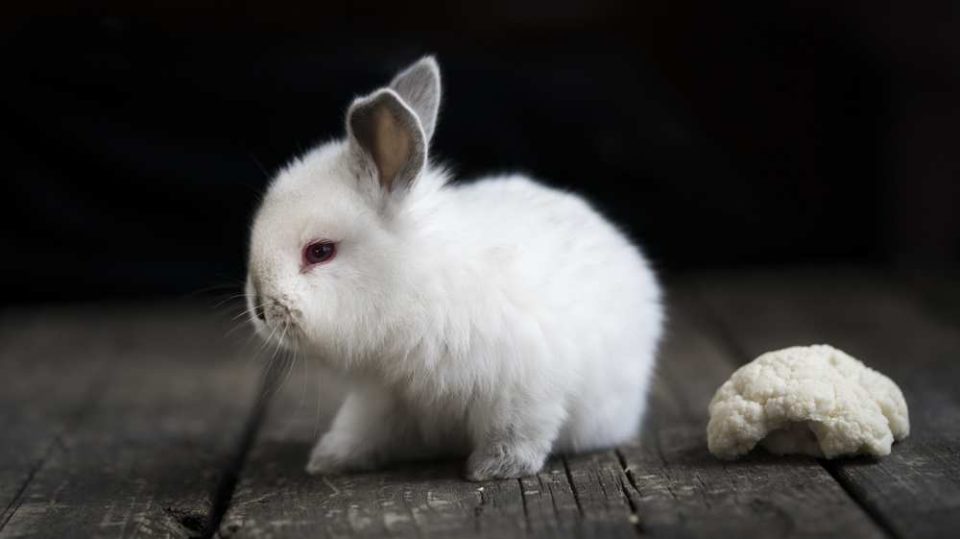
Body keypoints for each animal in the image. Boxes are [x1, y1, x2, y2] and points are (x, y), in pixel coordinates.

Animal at [245, 56, 663, 481]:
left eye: (320, 251)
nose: (260, 309)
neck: (412, 287)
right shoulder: (381, 395)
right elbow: (360, 429)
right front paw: (329, 460)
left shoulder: (524, 389)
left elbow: (518, 431)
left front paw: (493, 468)